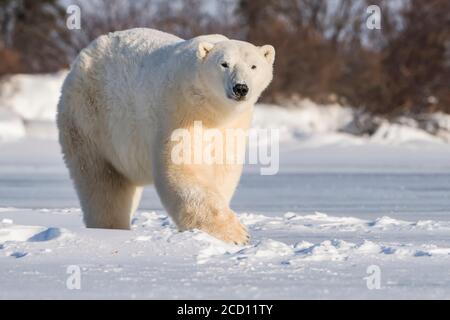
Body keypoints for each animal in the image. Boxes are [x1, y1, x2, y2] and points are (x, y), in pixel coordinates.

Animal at [56, 28, 274, 245]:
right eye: (224, 64)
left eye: (253, 66)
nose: (240, 88)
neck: (211, 110)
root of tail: (82, 57)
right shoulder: (181, 110)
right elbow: (182, 167)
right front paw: (236, 234)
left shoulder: (231, 126)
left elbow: (222, 170)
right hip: (90, 118)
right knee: (102, 182)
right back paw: (110, 227)